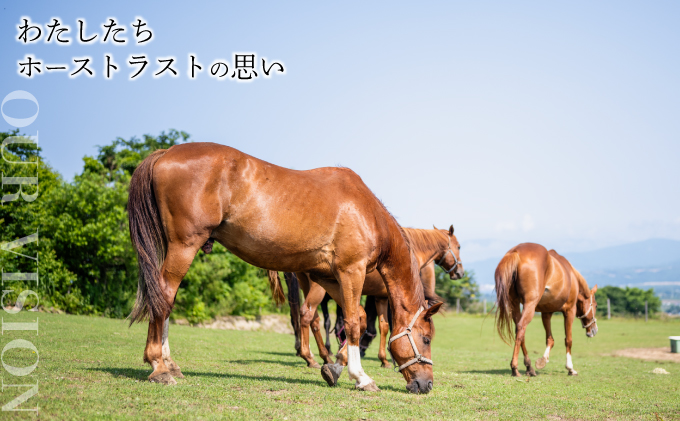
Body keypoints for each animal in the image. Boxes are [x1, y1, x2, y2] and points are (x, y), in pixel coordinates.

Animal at [127, 143, 440, 392]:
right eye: (425, 338)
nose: (426, 384)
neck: (366, 212)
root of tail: (167, 153)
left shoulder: (329, 277)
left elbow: (359, 320)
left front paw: (335, 366)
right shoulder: (351, 272)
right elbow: (351, 323)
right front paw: (361, 377)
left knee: (166, 300)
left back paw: (170, 363)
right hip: (184, 246)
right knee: (164, 297)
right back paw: (158, 366)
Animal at [276, 226, 462, 378]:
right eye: (459, 246)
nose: (460, 272)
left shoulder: (380, 298)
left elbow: (383, 326)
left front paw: (384, 359)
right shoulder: (388, 298)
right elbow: (390, 327)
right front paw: (387, 358)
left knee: (312, 319)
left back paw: (323, 355)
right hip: (318, 289)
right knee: (306, 315)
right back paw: (310, 356)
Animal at [492, 241, 596, 376]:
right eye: (595, 305)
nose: (594, 330)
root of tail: (515, 252)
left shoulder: (546, 312)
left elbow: (550, 339)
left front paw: (542, 361)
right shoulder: (570, 311)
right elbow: (568, 340)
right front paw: (570, 368)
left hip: (514, 304)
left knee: (520, 332)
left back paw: (529, 367)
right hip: (529, 305)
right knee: (521, 327)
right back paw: (515, 367)